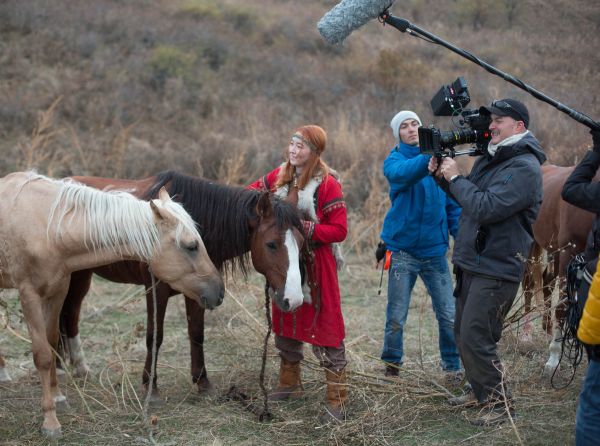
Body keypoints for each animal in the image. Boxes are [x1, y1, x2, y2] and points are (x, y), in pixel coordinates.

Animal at [0, 172, 224, 440]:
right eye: (191, 246)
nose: (219, 292)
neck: (47, 227)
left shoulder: (57, 291)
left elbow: (52, 344)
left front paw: (58, 397)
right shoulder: (29, 295)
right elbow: (43, 355)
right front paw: (50, 422)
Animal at [55, 171, 304, 398]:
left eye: (302, 242)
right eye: (271, 244)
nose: (294, 299)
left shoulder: (201, 290)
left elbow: (196, 333)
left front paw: (202, 382)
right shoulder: (156, 289)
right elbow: (155, 336)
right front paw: (150, 386)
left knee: (70, 315)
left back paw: (80, 369)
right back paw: (60, 370)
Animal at [516, 163, 596, 372]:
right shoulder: (569, 253)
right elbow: (562, 306)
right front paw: (553, 358)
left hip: (555, 253)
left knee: (546, 284)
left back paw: (547, 329)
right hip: (535, 247)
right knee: (529, 285)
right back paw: (527, 334)